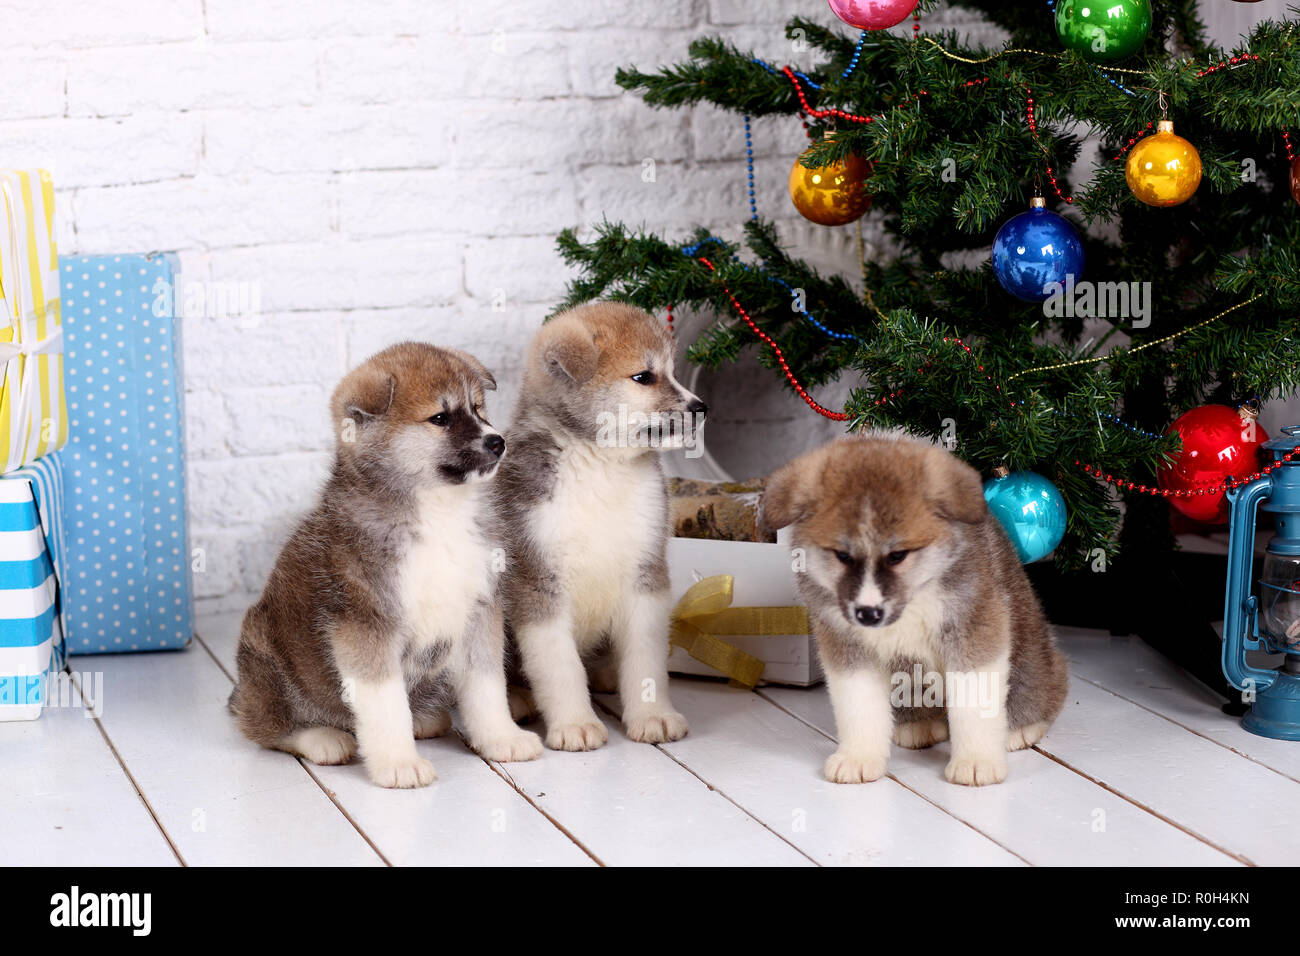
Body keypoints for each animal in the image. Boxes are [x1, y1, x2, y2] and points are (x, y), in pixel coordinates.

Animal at [228, 340, 543, 790]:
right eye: (440, 418)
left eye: (478, 408)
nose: (498, 441)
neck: (437, 514)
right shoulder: (367, 625)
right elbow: (384, 704)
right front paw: (398, 763)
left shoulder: (478, 612)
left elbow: (487, 689)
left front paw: (502, 738)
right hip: (265, 662)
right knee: (266, 727)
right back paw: (322, 738)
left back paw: (424, 719)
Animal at [493, 303, 712, 749]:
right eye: (644, 376)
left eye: (673, 371)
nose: (701, 408)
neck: (599, 466)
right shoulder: (537, 583)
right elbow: (560, 667)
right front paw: (575, 723)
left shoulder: (646, 574)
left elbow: (645, 663)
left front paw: (653, 714)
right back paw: (518, 698)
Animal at [759, 431, 1066, 785]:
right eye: (842, 556)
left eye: (897, 556)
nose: (868, 614)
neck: (916, 596)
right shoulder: (846, 645)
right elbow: (859, 705)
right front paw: (859, 757)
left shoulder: (974, 629)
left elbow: (974, 703)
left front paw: (976, 760)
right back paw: (919, 724)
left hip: (1030, 653)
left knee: (1043, 686)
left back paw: (1021, 728)